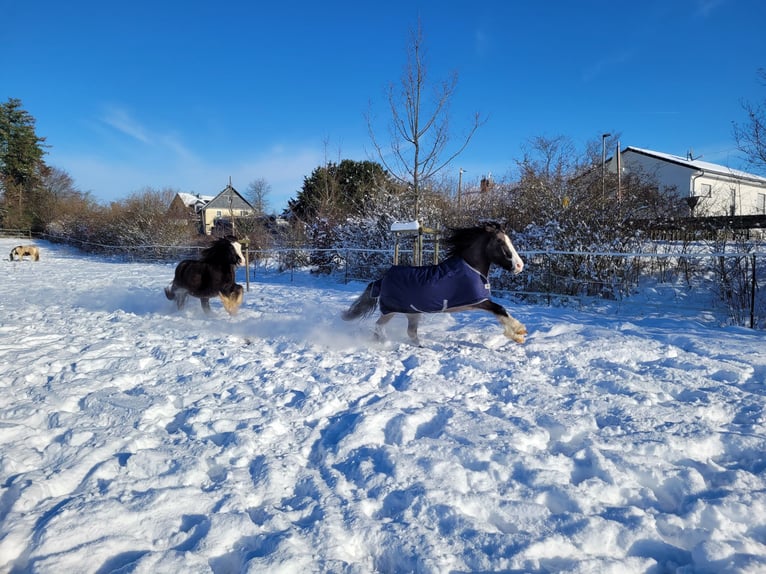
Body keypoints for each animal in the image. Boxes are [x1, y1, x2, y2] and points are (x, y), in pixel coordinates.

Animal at [342, 223, 528, 344]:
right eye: (500, 242)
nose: (519, 266)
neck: (471, 267)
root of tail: (382, 280)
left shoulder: (475, 302)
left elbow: (499, 311)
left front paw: (517, 336)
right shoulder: (478, 301)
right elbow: (500, 309)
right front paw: (519, 331)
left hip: (412, 313)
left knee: (410, 332)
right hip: (391, 310)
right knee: (378, 326)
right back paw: (384, 343)